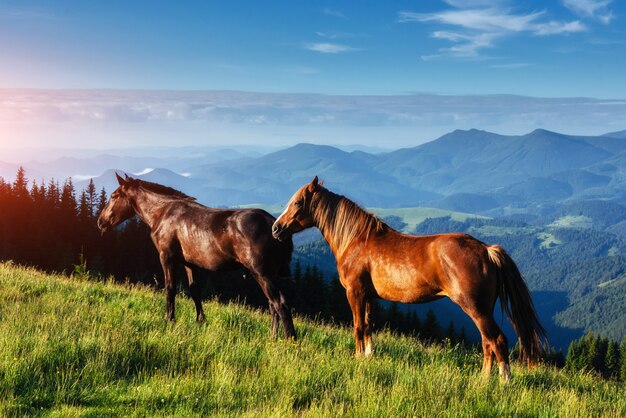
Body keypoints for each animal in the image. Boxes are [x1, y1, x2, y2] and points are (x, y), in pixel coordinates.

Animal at [98, 174, 296, 340]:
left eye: (114, 196)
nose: (100, 221)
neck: (161, 213)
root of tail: (274, 225)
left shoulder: (167, 257)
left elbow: (170, 288)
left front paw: (169, 319)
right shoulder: (189, 263)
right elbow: (195, 290)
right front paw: (200, 320)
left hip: (262, 273)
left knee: (280, 303)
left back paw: (290, 340)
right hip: (266, 275)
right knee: (272, 305)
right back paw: (272, 336)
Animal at [270, 177, 544, 382]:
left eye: (298, 202)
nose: (276, 228)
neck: (356, 240)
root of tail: (487, 250)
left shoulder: (355, 293)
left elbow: (357, 327)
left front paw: (357, 358)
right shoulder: (369, 297)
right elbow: (368, 326)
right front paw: (368, 357)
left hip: (476, 309)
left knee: (497, 341)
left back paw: (503, 382)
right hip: (483, 310)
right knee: (488, 343)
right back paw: (483, 380)